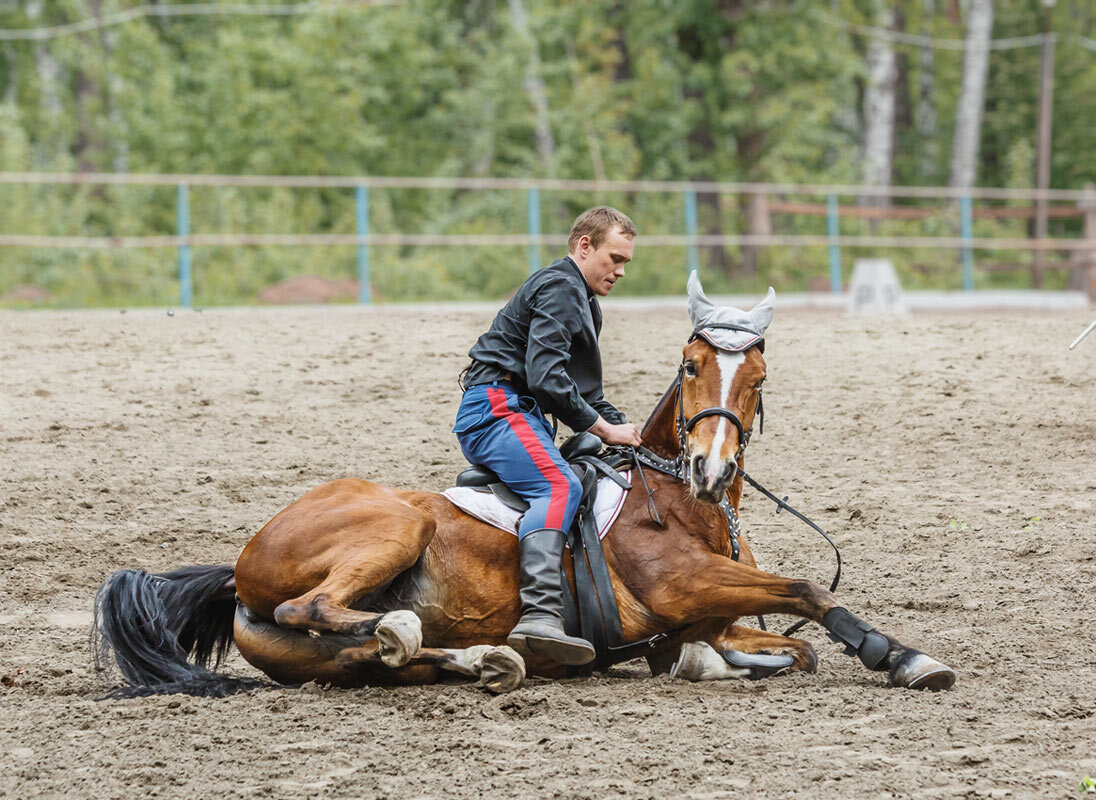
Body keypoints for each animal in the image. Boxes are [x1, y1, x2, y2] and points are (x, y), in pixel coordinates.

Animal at [94, 272, 955, 692]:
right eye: (690, 366)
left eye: (759, 378)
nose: (710, 470)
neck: (681, 505)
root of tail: (237, 572)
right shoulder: (685, 587)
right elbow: (808, 592)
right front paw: (902, 657)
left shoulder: (710, 614)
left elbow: (787, 647)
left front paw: (708, 663)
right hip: (394, 526)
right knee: (322, 610)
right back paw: (421, 630)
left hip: (321, 654)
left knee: (377, 658)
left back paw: (483, 660)